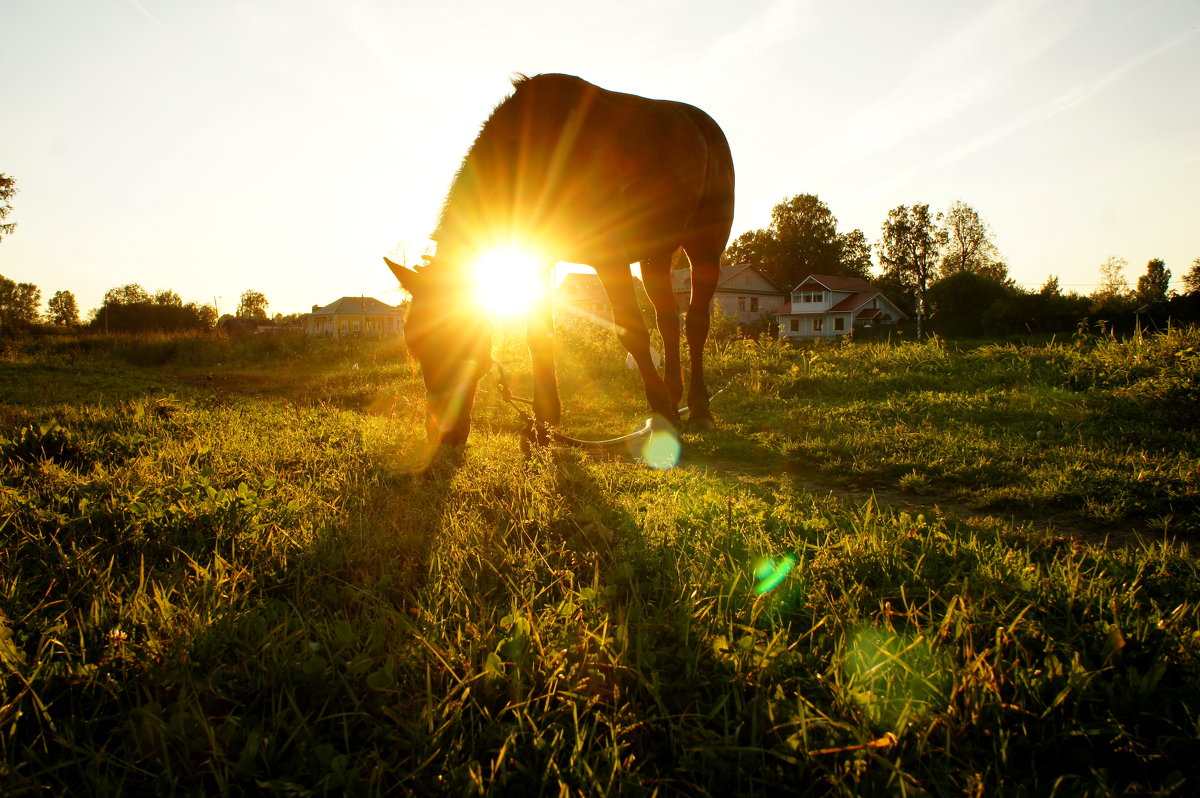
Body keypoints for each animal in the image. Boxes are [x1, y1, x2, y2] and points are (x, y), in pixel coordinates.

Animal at [388, 73, 734, 448]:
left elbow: (631, 332)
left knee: (695, 324)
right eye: (416, 344)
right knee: (668, 320)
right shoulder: (536, 259)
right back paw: (673, 395)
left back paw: (697, 409)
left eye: (462, 338)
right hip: (656, 254)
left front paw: (661, 413)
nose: (445, 434)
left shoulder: (610, 258)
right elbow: (540, 337)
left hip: (705, 247)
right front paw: (544, 421)